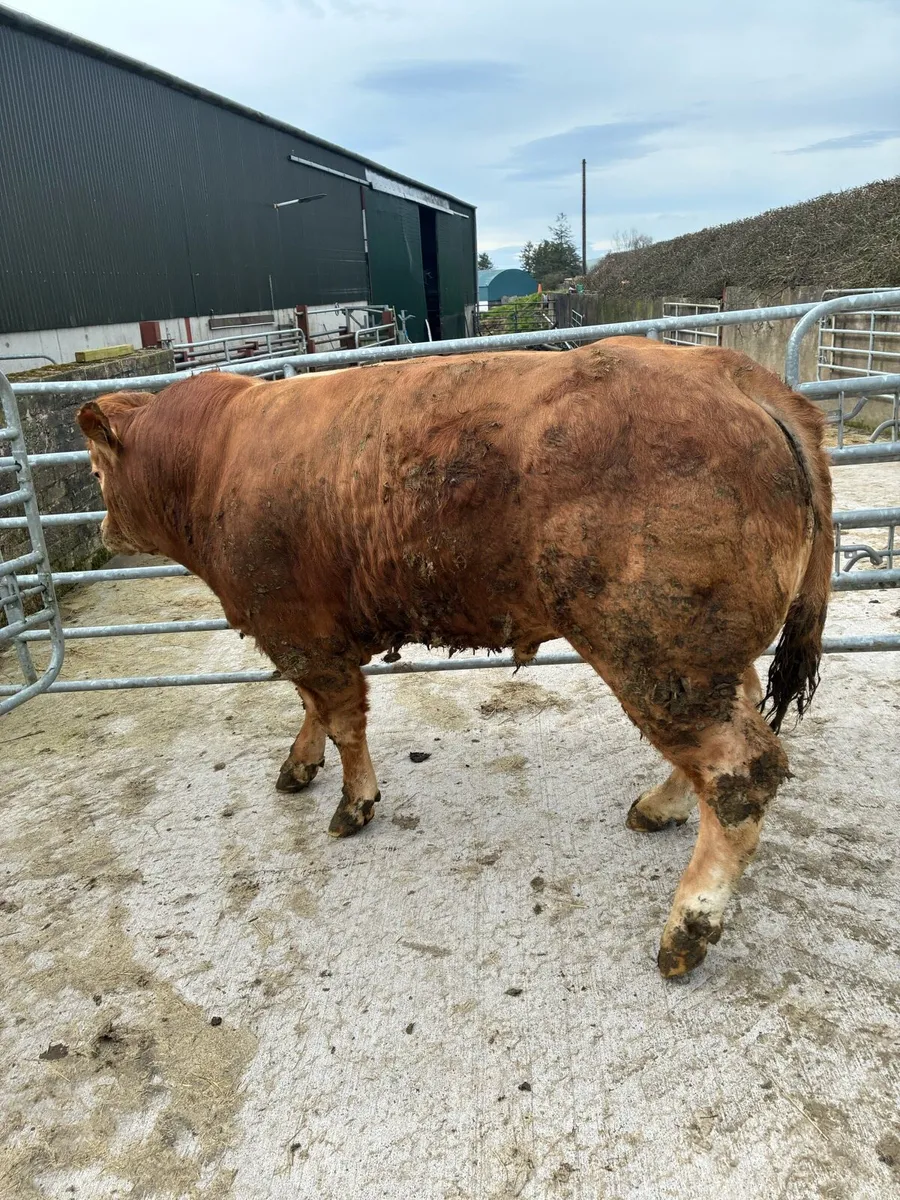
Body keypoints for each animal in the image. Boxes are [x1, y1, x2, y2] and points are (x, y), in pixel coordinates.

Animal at [77, 337, 833, 977]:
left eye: (95, 468)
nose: (102, 531)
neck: (215, 457)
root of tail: (728, 371)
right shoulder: (302, 636)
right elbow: (312, 709)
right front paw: (299, 765)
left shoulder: (300, 632)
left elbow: (342, 717)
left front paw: (354, 803)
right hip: (701, 651)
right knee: (725, 734)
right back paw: (657, 807)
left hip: (657, 648)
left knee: (740, 771)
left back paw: (686, 930)